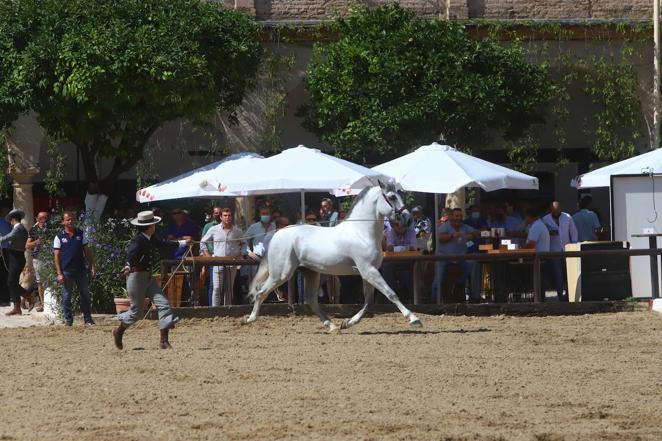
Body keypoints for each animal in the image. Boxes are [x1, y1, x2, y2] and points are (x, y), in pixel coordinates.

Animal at [246, 180, 422, 330]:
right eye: (392, 197)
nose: (408, 219)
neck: (362, 233)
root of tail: (277, 234)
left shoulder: (368, 272)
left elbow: (369, 301)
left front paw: (348, 323)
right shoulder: (368, 270)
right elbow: (391, 294)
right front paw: (414, 319)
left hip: (310, 273)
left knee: (311, 300)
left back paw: (331, 325)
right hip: (281, 274)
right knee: (260, 291)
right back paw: (250, 319)